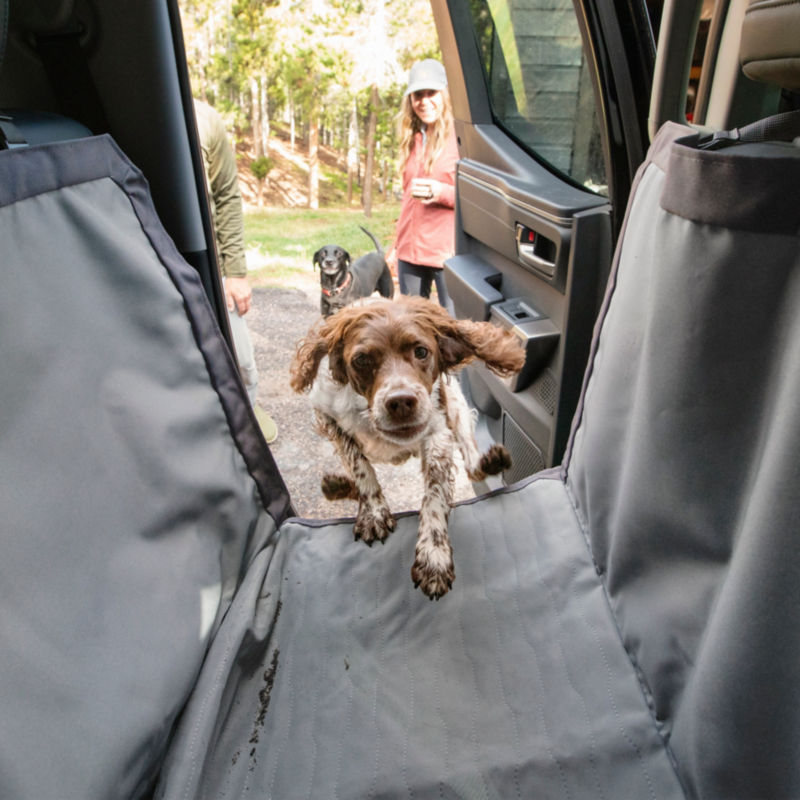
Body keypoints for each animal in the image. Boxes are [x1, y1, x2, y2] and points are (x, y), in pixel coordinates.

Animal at [290, 296, 524, 596]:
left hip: (457, 406)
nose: (400, 402)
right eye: (361, 359)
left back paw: (488, 462)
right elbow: (359, 465)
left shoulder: (438, 430)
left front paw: (433, 554)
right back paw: (338, 486)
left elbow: (435, 493)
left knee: (471, 462)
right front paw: (373, 511)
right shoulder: (326, 414)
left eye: (421, 351)